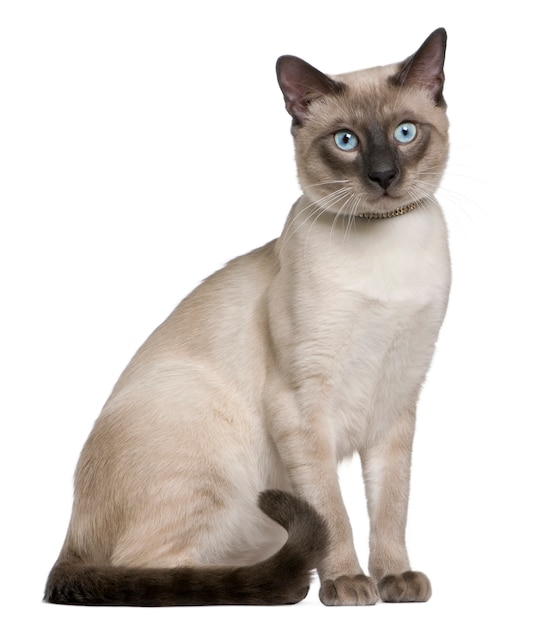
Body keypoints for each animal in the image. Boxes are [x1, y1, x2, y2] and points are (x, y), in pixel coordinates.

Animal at [46, 29, 452, 604]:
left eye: (405, 132)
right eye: (345, 141)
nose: (383, 176)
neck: (385, 251)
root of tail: (70, 530)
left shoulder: (397, 400)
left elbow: (391, 507)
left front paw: (395, 579)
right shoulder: (302, 407)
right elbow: (333, 511)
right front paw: (347, 582)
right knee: (161, 575)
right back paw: (275, 586)